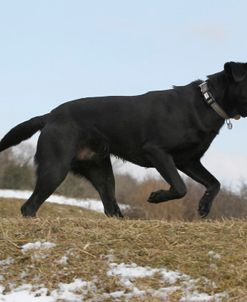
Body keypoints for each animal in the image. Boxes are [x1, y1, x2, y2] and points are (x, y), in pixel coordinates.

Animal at [0, 61, 247, 217]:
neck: (207, 101)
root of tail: (49, 116)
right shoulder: (157, 151)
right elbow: (180, 187)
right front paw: (157, 196)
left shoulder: (188, 161)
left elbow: (214, 183)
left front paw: (204, 206)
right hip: (55, 169)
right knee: (29, 207)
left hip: (102, 173)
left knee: (111, 208)